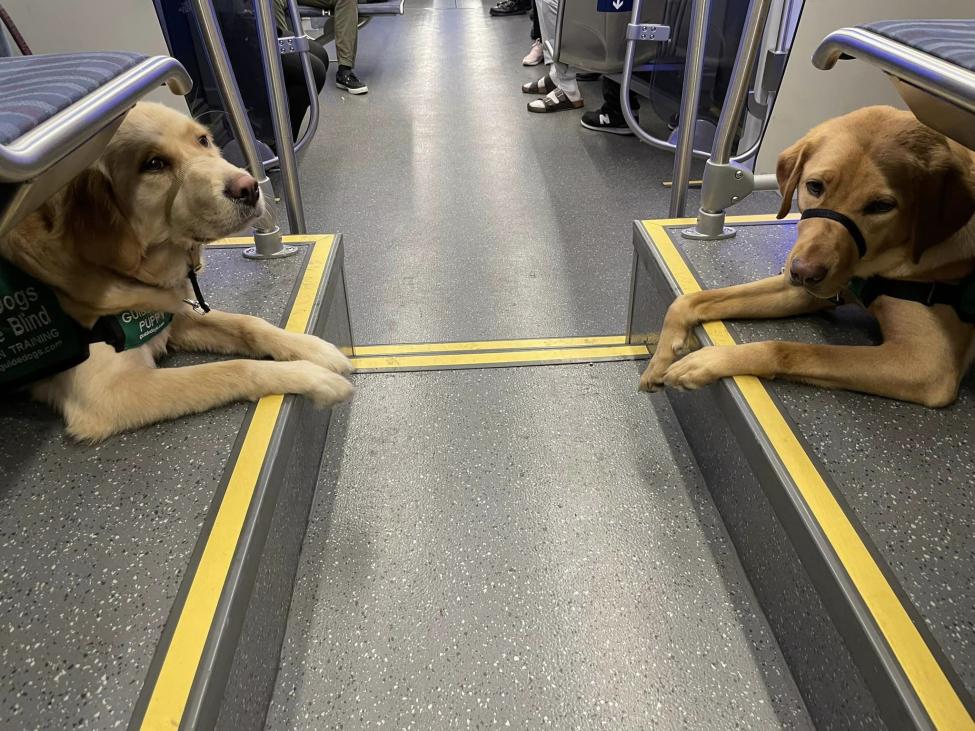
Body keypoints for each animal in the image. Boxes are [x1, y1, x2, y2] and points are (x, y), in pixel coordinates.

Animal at [0, 101, 356, 440]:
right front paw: (311, 376)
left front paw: (313, 348)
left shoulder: (175, 317)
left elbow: (249, 324)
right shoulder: (110, 392)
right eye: (153, 164)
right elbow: (231, 368)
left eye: (203, 140)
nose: (249, 188)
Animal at [640, 106, 975, 408]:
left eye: (882, 206)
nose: (804, 272)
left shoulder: (925, 363)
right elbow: (690, 300)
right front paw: (660, 360)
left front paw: (706, 361)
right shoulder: (802, 290)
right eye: (814, 186)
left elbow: (788, 349)